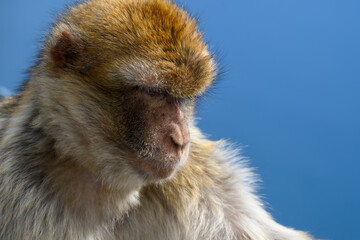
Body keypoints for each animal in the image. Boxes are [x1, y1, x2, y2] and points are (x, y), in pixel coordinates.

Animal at [0, 0, 316, 239]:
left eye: (182, 99)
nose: (181, 140)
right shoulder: (21, 191)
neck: (108, 186)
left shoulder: (199, 173)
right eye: (154, 93)